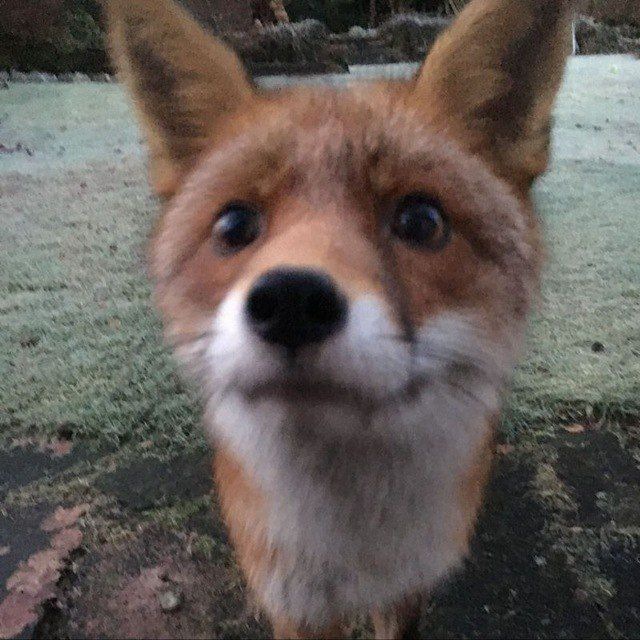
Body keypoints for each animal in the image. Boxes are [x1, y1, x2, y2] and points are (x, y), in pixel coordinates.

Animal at [105, 0, 574, 637]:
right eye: (234, 225)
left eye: (421, 220)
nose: (290, 301)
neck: (354, 545)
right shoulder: (294, 603)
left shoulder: (406, 590)